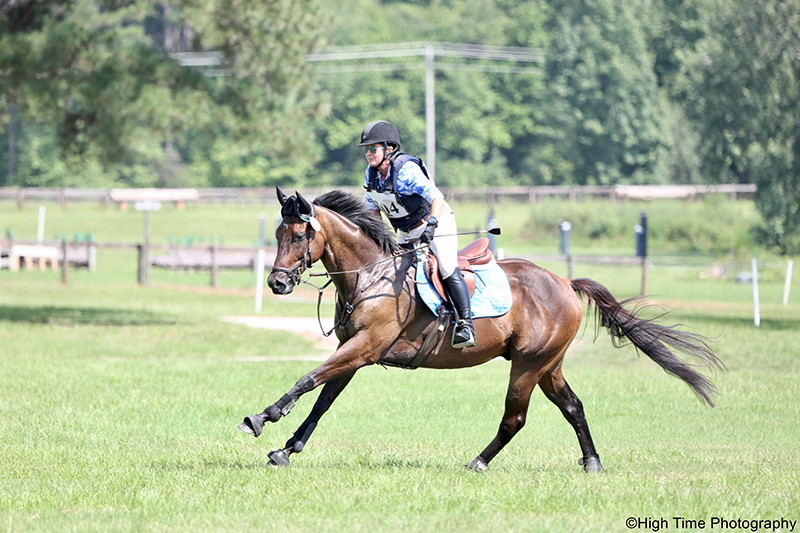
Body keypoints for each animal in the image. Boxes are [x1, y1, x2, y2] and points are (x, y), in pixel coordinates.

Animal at [236, 189, 720, 472]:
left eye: (299, 236)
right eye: (277, 233)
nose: (277, 284)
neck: (371, 274)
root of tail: (565, 282)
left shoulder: (364, 347)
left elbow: (308, 379)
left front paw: (263, 417)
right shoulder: (354, 353)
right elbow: (322, 401)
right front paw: (286, 449)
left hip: (527, 366)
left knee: (515, 418)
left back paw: (478, 462)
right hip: (549, 366)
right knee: (574, 407)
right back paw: (592, 462)